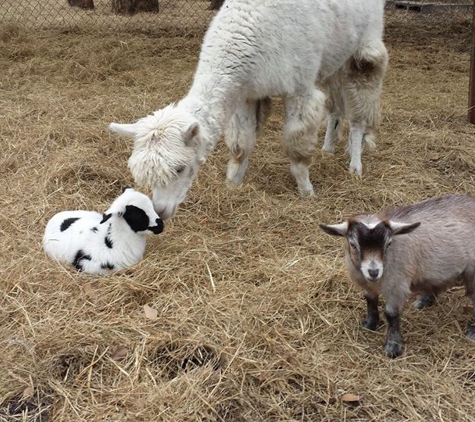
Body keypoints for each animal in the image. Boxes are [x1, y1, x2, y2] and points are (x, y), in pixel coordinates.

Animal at [320, 194, 475, 356]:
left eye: (388, 244)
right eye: (353, 244)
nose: (374, 272)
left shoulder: (397, 286)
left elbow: (391, 314)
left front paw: (393, 347)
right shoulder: (367, 285)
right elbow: (370, 301)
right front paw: (370, 324)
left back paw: (472, 332)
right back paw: (424, 300)